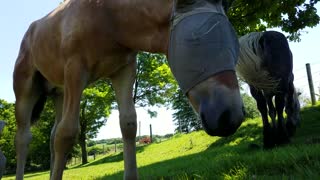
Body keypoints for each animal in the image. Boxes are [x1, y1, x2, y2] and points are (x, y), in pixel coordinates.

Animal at [12, 0, 242, 179]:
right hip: (26, 90)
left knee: (51, 136)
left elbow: (128, 123)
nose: (229, 116)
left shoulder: (124, 70)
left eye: (235, 46)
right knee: (23, 138)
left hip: (59, 92)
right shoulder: (75, 71)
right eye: (194, 40)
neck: (107, 16)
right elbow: (67, 133)